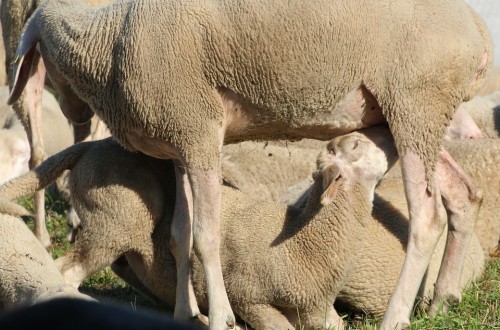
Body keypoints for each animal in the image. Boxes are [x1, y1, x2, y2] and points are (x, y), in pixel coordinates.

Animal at [7, 0, 492, 328]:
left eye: (42, 59)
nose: (75, 116)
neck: (108, 43)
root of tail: (480, 32)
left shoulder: (198, 131)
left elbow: (206, 237)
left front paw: (221, 316)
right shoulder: (182, 144)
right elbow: (180, 235)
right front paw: (186, 311)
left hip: (416, 104)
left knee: (427, 216)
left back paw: (396, 316)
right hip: (414, 118)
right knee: (463, 196)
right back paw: (441, 299)